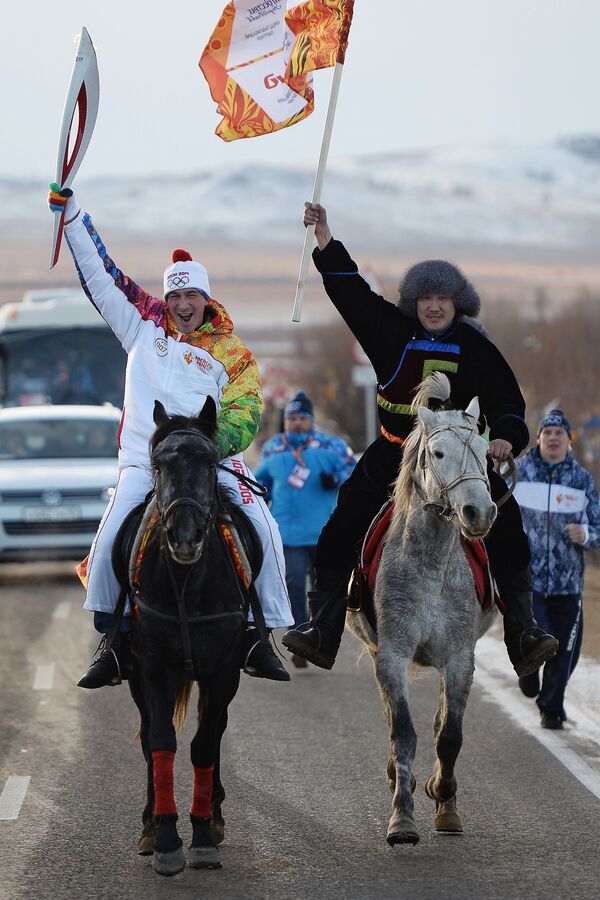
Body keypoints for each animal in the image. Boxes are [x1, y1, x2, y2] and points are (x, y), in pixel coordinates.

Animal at [346, 370, 496, 844]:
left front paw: (444, 800)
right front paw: (402, 818)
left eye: (485, 451)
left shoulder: (460, 659)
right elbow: (403, 733)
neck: (430, 562)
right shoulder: (392, 654)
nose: (479, 512)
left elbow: (448, 736)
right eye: (438, 452)